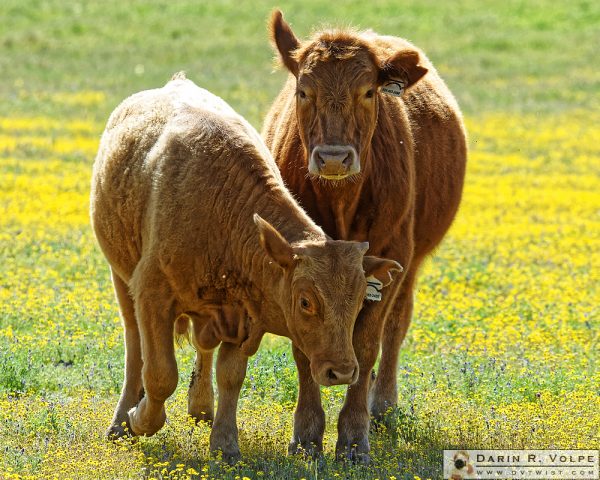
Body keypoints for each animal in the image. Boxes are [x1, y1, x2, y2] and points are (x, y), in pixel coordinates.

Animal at [90, 72, 398, 462]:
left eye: (359, 301)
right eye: (306, 301)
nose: (341, 371)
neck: (220, 208)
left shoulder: (241, 314)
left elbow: (231, 376)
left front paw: (225, 446)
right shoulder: (152, 294)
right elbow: (160, 373)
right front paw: (140, 421)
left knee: (200, 348)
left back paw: (201, 408)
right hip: (121, 279)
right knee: (134, 348)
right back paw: (120, 422)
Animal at [264, 10, 468, 462]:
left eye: (369, 92)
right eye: (303, 91)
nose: (333, 158)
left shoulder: (392, 255)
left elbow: (367, 343)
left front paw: (354, 438)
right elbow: (304, 347)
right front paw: (307, 435)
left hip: (410, 264)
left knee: (395, 326)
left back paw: (384, 405)